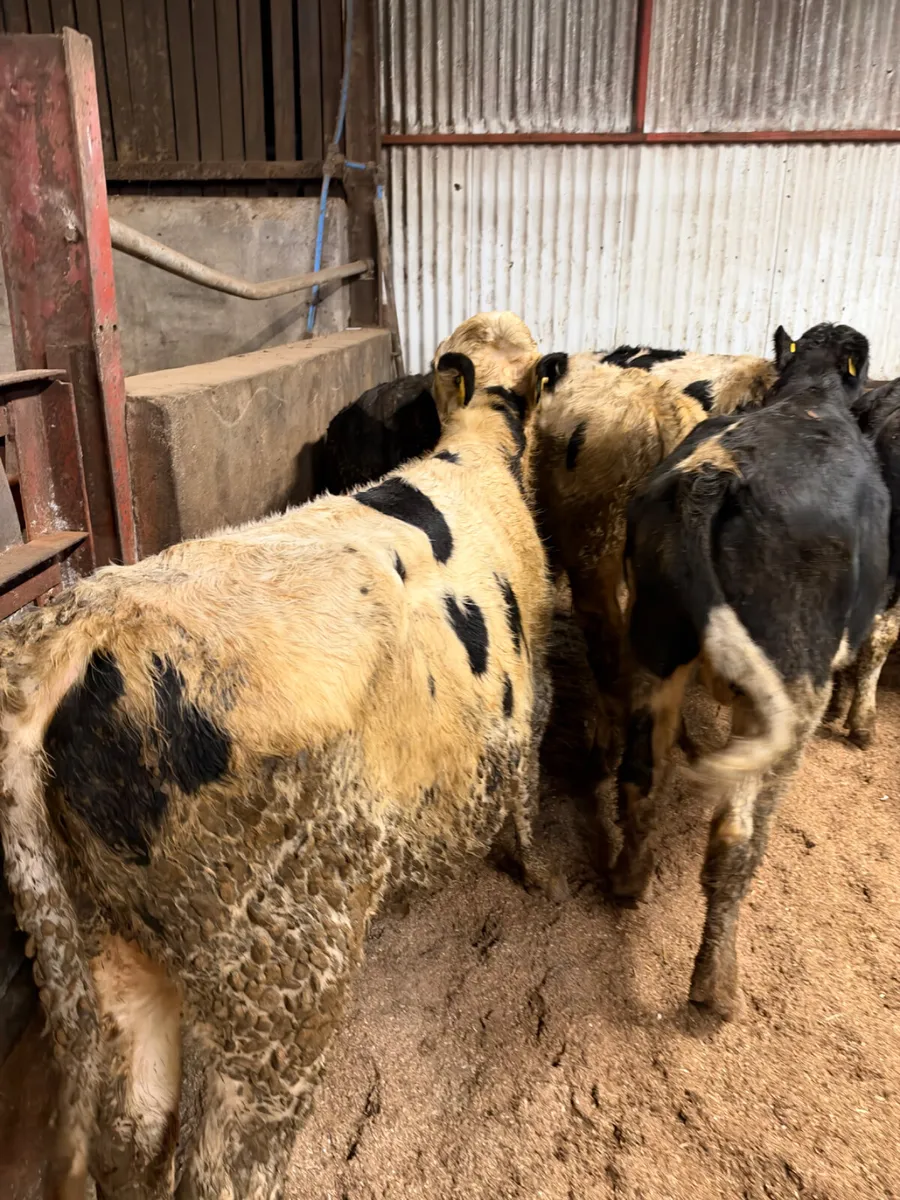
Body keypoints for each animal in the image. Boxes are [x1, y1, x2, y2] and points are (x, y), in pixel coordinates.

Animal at [0, 362, 554, 1198]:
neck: (479, 453)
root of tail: (81, 621)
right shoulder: (527, 696)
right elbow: (525, 792)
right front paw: (542, 878)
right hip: (277, 977)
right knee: (221, 1169)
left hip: (108, 950)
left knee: (131, 1133)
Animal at [617, 322, 889, 1019]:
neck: (812, 395)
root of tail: (713, 476)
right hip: (789, 689)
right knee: (736, 841)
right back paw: (716, 984)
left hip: (655, 649)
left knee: (640, 774)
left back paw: (628, 879)